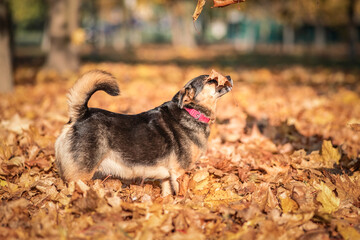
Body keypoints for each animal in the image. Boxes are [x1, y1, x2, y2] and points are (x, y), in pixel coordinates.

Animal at [54, 69, 232, 195]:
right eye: (211, 79)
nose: (229, 76)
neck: (191, 111)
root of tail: (81, 115)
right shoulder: (178, 173)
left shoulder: (166, 177)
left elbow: (167, 195)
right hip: (81, 174)